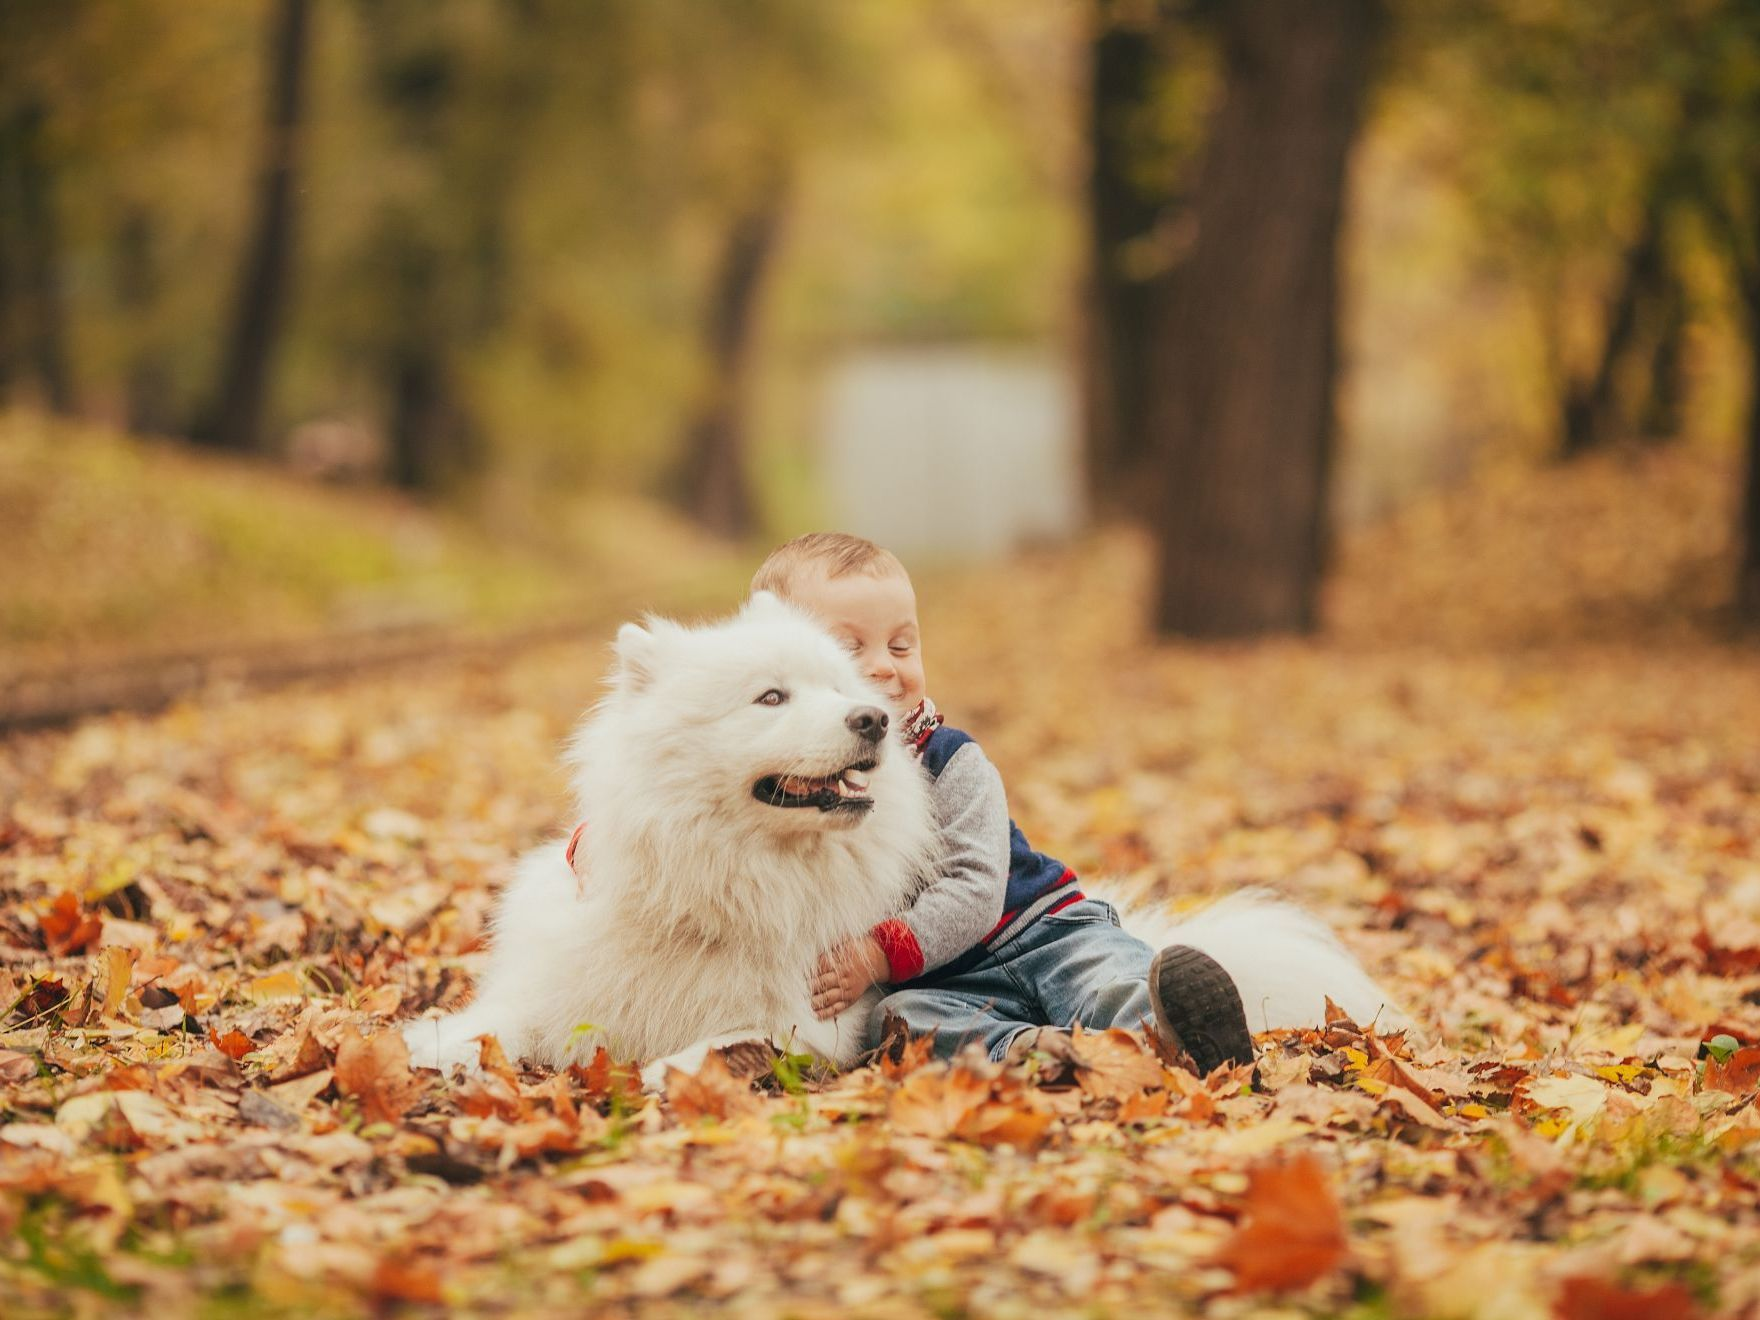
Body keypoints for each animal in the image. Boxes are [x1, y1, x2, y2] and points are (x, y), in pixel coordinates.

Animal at [399, 598, 1400, 1084]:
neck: (726, 885)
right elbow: (481, 1030)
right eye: (771, 697)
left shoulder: (806, 1023)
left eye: (844, 686)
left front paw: (671, 1074)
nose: (875, 719)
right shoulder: (552, 992)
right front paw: (431, 1056)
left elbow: (715, 1045)